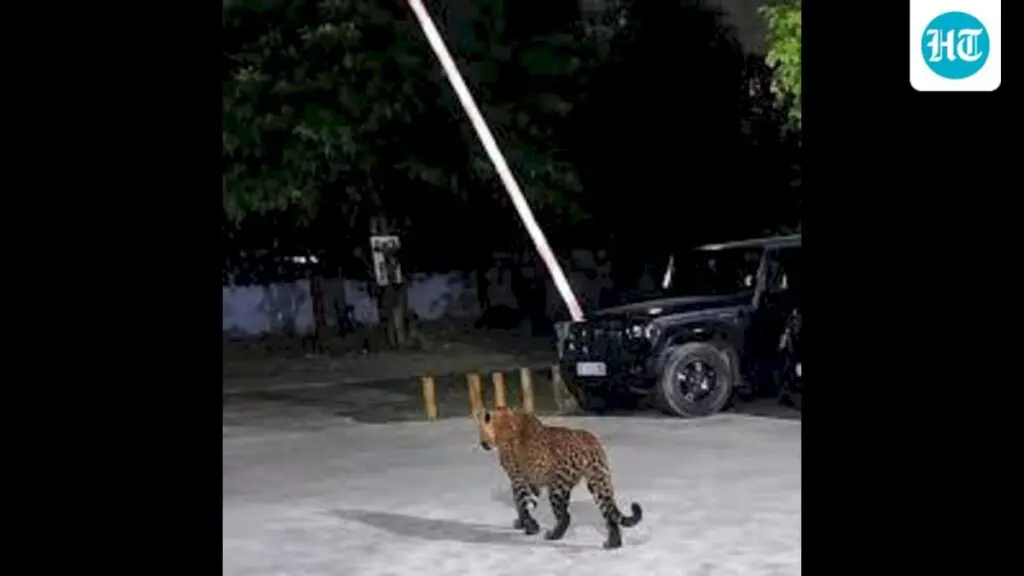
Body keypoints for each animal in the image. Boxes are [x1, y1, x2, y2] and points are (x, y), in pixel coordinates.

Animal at [477, 406, 643, 549]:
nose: (482, 443)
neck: (504, 420)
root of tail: (588, 442)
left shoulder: (519, 479)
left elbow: (521, 504)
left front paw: (530, 527)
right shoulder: (532, 481)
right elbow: (526, 504)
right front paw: (524, 524)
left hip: (557, 487)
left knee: (565, 516)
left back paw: (553, 535)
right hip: (598, 482)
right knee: (609, 514)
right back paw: (613, 543)